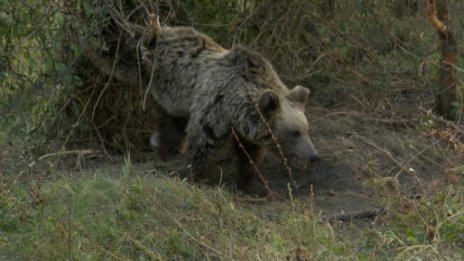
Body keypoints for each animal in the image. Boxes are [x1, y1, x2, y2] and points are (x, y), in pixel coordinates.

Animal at [139, 21, 320, 191]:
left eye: (306, 129)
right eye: (294, 132)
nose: (314, 156)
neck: (235, 107)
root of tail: (162, 30)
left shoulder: (247, 128)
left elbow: (249, 154)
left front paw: (250, 184)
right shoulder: (214, 106)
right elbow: (202, 142)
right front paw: (196, 175)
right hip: (166, 91)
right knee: (169, 124)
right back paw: (167, 153)